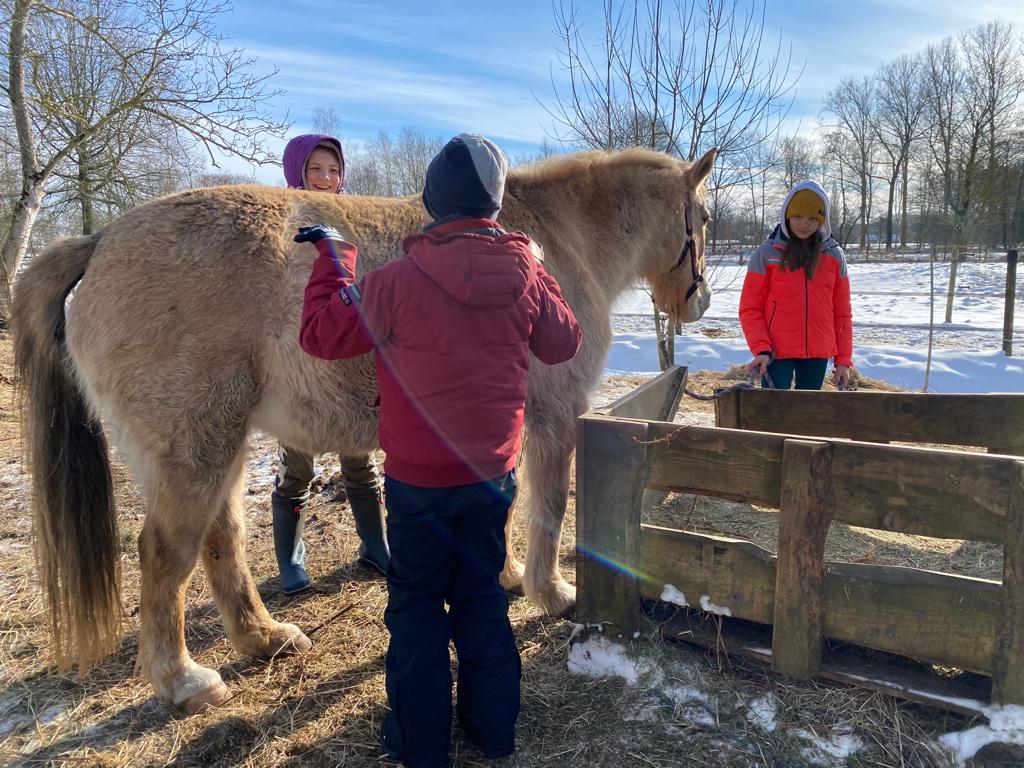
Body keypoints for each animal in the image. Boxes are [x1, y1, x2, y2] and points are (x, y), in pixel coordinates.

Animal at [12, 145, 716, 716]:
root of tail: (100, 240)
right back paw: (183, 680)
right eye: (704, 220)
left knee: (222, 540)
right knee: (164, 554)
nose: (699, 300)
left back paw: (264, 639)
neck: (553, 235)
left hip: (219, 447)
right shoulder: (553, 416)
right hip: (195, 450)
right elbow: (548, 507)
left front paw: (510, 575)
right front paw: (552, 591)